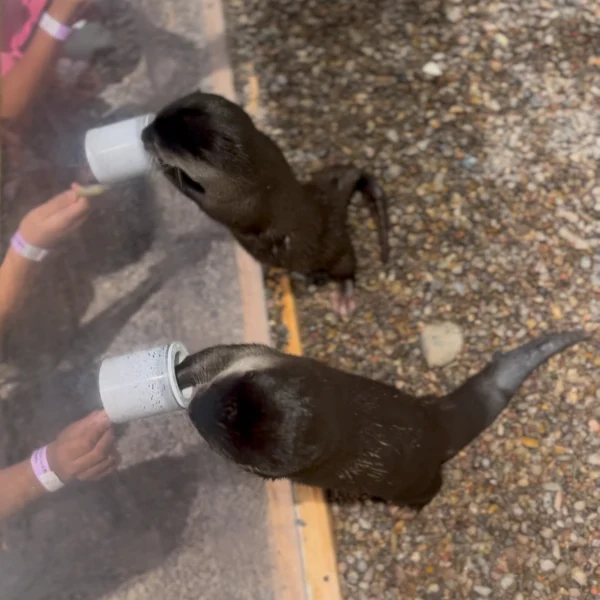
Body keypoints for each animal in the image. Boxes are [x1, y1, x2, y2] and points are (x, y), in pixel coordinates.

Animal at [143, 91, 392, 316]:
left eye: (160, 141)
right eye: (157, 120)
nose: (143, 134)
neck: (251, 175)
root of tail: (329, 204)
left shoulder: (233, 202)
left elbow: (201, 200)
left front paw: (166, 169)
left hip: (336, 247)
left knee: (348, 267)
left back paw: (345, 299)